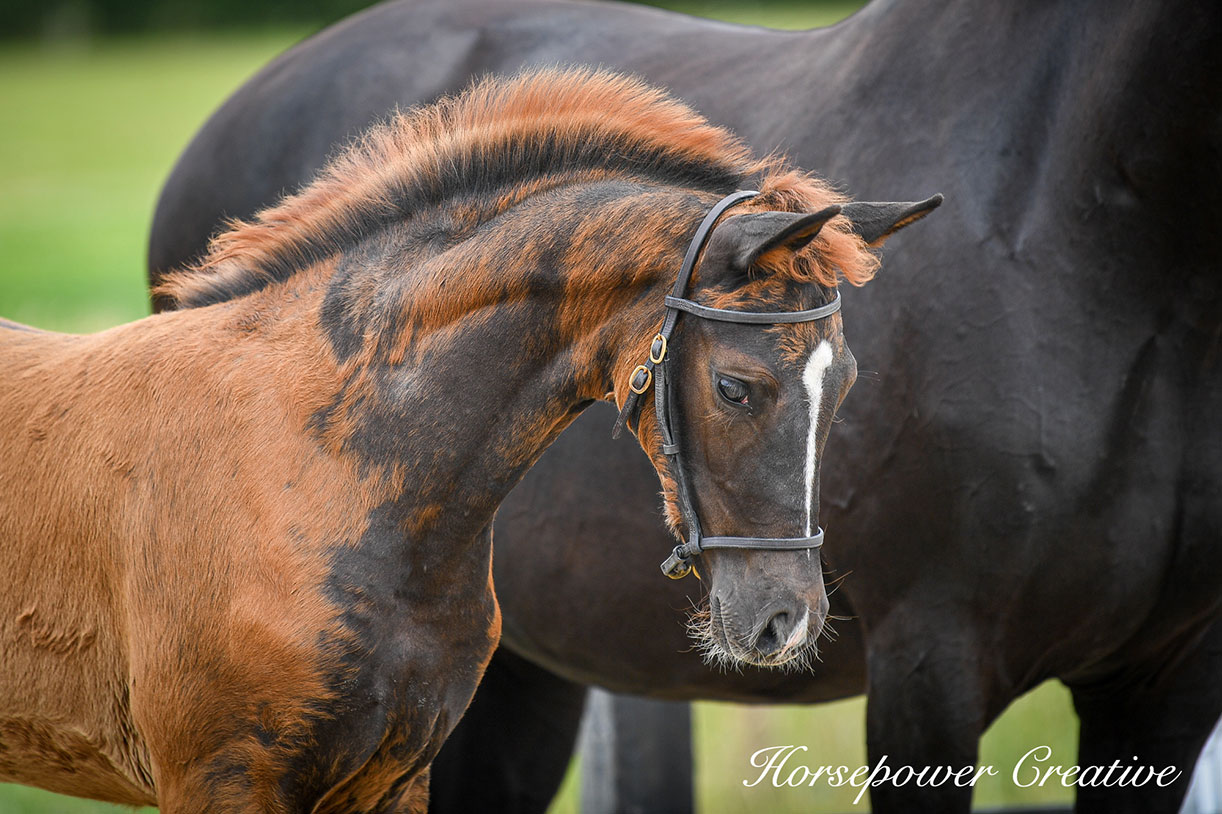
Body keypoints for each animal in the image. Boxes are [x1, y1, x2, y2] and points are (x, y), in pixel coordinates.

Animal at [2, 68, 933, 806]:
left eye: (846, 384)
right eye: (736, 387)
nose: (787, 622)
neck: (311, 468)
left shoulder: (394, 778)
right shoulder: (221, 777)